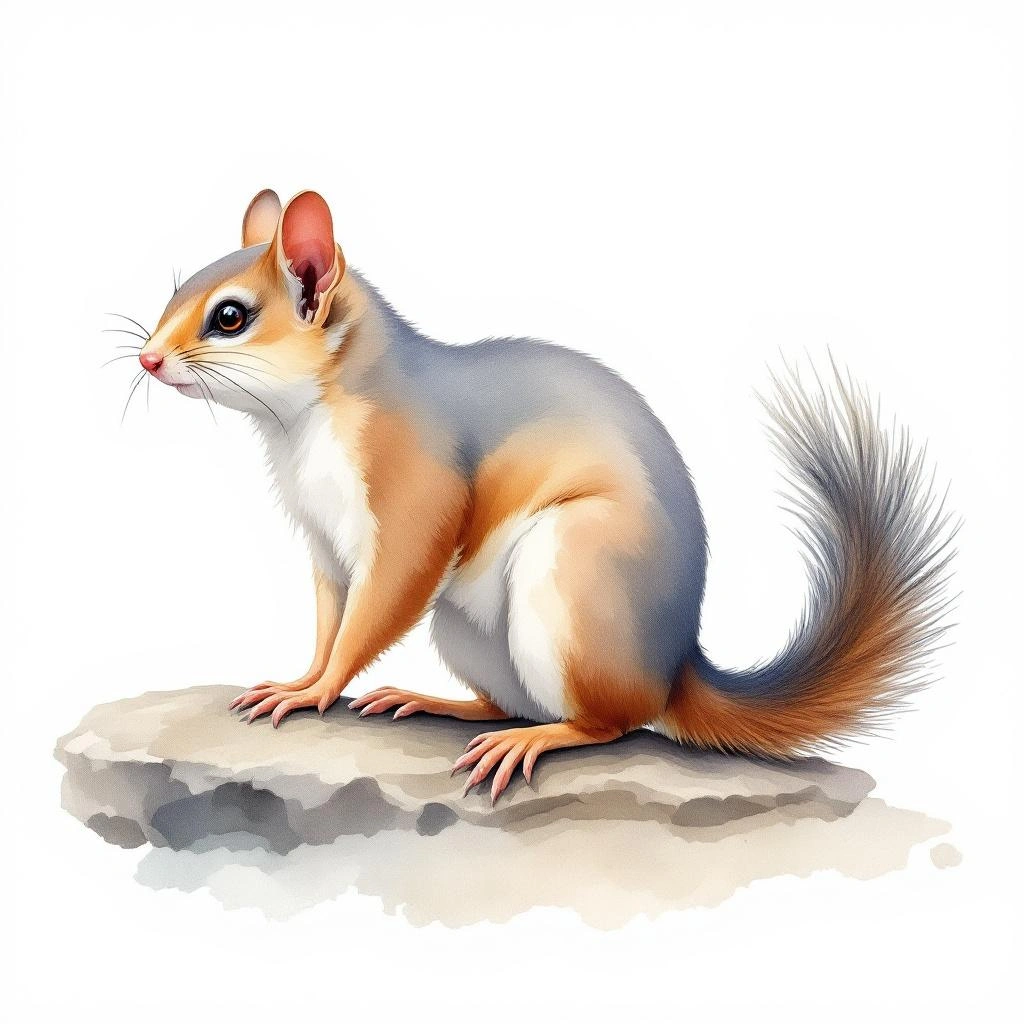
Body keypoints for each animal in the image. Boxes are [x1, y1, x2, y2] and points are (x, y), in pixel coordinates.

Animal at [131, 189, 957, 803]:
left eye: (230, 316)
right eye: (175, 292)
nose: (147, 359)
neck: (305, 420)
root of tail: (673, 665)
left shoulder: (413, 492)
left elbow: (378, 603)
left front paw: (318, 689)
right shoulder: (324, 540)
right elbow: (331, 616)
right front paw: (300, 680)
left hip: (571, 574)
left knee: (612, 723)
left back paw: (531, 740)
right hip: (466, 627)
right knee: (514, 699)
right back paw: (441, 703)